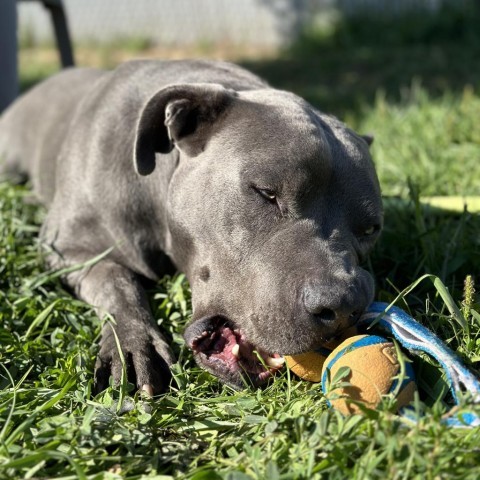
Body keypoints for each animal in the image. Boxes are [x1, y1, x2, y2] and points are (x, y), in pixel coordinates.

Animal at [0, 61, 382, 394]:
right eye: (266, 193)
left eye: (370, 230)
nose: (343, 306)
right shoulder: (66, 246)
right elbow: (116, 280)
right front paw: (133, 344)